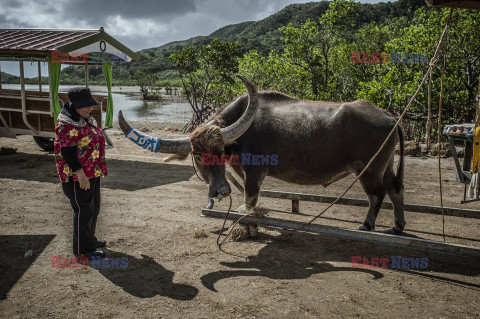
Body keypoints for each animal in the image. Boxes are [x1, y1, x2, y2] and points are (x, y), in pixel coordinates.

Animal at [117, 75, 404, 235]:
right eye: (198, 156)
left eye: (220, 151)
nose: (221, 191)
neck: (241, 134)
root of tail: (391, 118)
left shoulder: (255, 173)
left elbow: (250, 199)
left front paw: (246, 225)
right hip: (386, 165)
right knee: (394, 189)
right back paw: (397, 226)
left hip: (369, 169)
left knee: (376, 195)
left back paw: (367, 226)